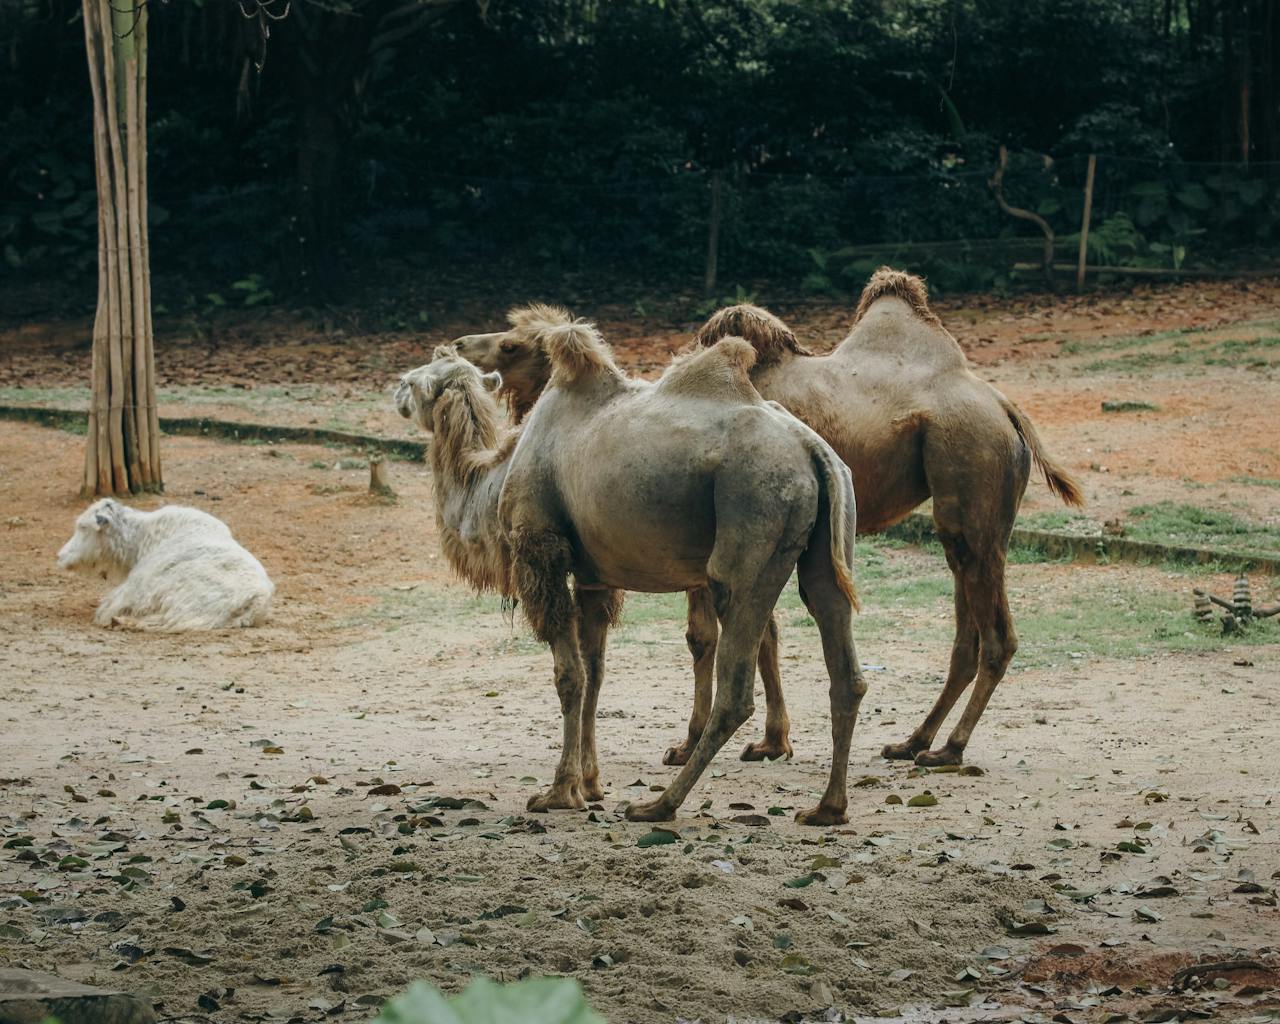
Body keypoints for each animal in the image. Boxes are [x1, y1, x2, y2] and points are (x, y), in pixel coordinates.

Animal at [398, 314, 867, 824]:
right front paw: (590, 783)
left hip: (751, 518)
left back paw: (659, 804)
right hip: (825, 536)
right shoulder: (593, 578)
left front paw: (559, 792)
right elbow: (595, 672)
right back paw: (827, 808)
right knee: (841, 655)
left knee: (736, 683)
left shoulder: (542, 551)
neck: (496, 477)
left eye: (418, 380)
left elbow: (569, 676)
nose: (397, 390)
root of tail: (812, 449)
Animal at [454, 270, 1083, 768]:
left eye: (511, 346)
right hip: (963, 513)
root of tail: (1007, 410)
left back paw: (949, 749)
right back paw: (913, 741)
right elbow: (761, 635)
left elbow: (707, 637)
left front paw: (697, 743)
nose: (459, 342)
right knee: (965, 629)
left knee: (995, 633)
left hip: (970, 475)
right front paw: (770, 740)